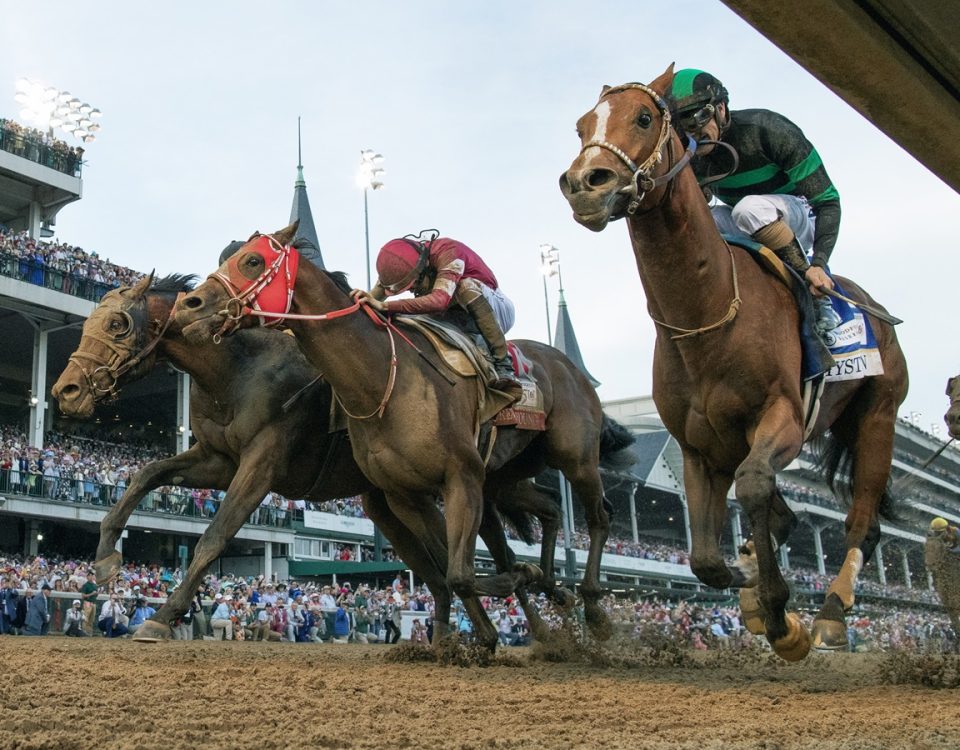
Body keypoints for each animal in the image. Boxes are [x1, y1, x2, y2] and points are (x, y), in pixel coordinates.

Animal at [560, 66, 904, 664]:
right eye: (582, 127)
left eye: (644, 118)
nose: (586, 184)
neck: (707, 311)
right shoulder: (698, 446)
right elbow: (706, 558)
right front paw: (756, 592)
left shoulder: (781, 416)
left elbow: (754, 488)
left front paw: (782, 615)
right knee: (786, 514)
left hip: (877, 417)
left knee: (861, 520)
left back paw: (830, 613)